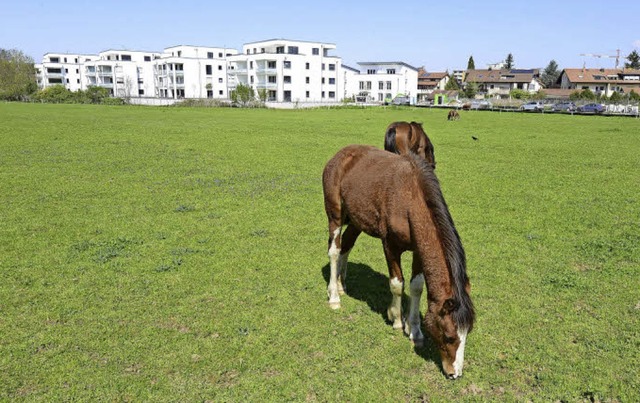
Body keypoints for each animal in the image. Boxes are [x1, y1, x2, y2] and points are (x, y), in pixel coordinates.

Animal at [322, 144, 472, 378]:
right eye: (449, 336)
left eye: (468, 333)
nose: (454, 373)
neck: (409, 201)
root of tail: (340, 155)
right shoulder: (390, 246)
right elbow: (397, 284)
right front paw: (397, 319)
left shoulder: (419, 250)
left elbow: (416, 287)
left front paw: (415, 330)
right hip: (335, 215)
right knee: (335, 251)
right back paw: (334, 296)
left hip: (356, 220)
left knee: (346, 245)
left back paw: (340, 285)